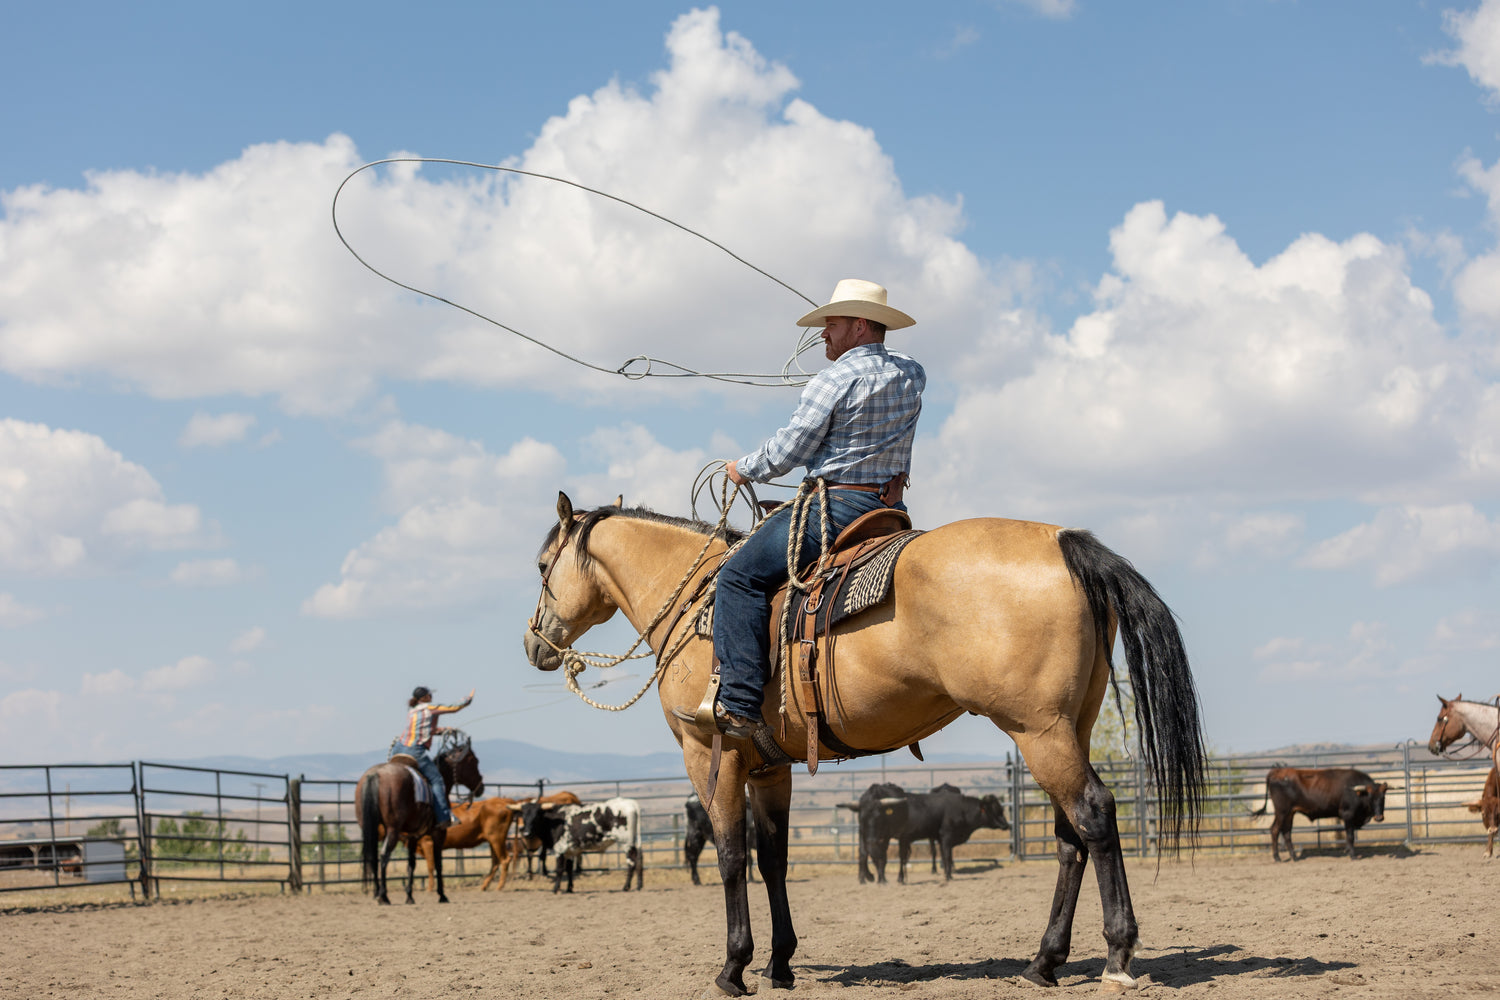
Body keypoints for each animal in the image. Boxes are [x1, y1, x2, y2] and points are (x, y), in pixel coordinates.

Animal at [357, 733, 483, 904]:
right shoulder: (439, 833)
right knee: (383, 855)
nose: (481, 787)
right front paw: (442, 895)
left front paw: (409, 896)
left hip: (370, 829)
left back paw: (377, 893)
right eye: (475, 761)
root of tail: (375, 775)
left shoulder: (412, 836)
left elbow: (411, 863)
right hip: (392, 830)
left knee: (373, 857)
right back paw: (383, 896)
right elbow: (438, 863)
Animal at [524, 493, 1206, 995]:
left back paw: (1118, 955)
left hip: (1038, 733)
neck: (699, 610)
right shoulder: (771, 768)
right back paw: (1044, 962)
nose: (535, 644)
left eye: (541, 566)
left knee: (1094, 816)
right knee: (1071, 837)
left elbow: (731, 856)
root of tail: (1062, 541)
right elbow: (774, 858)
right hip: (1069, 729)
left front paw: (734, 968)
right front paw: (780, 964)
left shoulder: (709, 754)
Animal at [1251, 766, 1389, 861]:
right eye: (1370, 797)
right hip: (1282, 811)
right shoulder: (1347, 815)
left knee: (1286, 832)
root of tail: (1277, 771)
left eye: (1383, 797)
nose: (1379, 817)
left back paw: (1294, 856)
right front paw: (1352, 855)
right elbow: (1350, 836)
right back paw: (1277, 857)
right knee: (1275, 830)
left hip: (1290, 813)